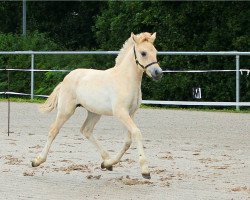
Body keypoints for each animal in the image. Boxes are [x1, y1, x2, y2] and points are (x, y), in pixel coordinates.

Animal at [31, 32, 163, 179]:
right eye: (143, 53)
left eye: (155, 52)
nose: (158, 73)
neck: (125, 80)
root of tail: (66, 78)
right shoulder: (121, 112)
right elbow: (136, 133)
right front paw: (145, 171)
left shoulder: (130, 113)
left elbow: (128, 141)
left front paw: (108, 163)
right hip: (66, 110)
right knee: (53, 130)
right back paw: (37, 161)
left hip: (94, 112)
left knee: (86, 130)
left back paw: (106, 161)